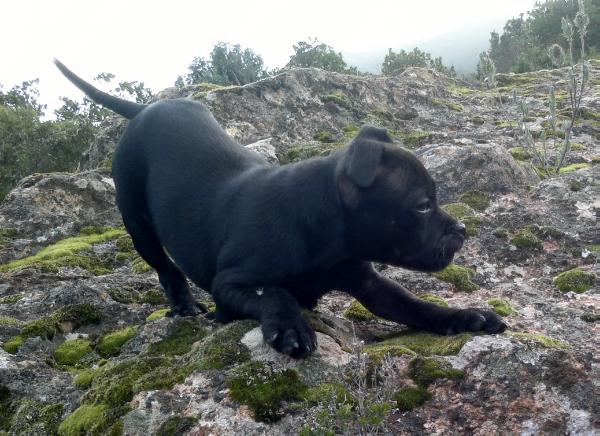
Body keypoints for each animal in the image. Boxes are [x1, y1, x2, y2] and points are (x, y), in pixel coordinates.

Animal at [55, 60, 506, 358]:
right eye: (423, 206)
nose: (463, 230)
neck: (320, 234)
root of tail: (145, 108)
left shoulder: (367, 282)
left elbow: (415, 305)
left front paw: (467, 316)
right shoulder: (229, 283)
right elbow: (273, 291)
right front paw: (290, 324)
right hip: (136, 220)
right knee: (166, 268)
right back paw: (183, 305)